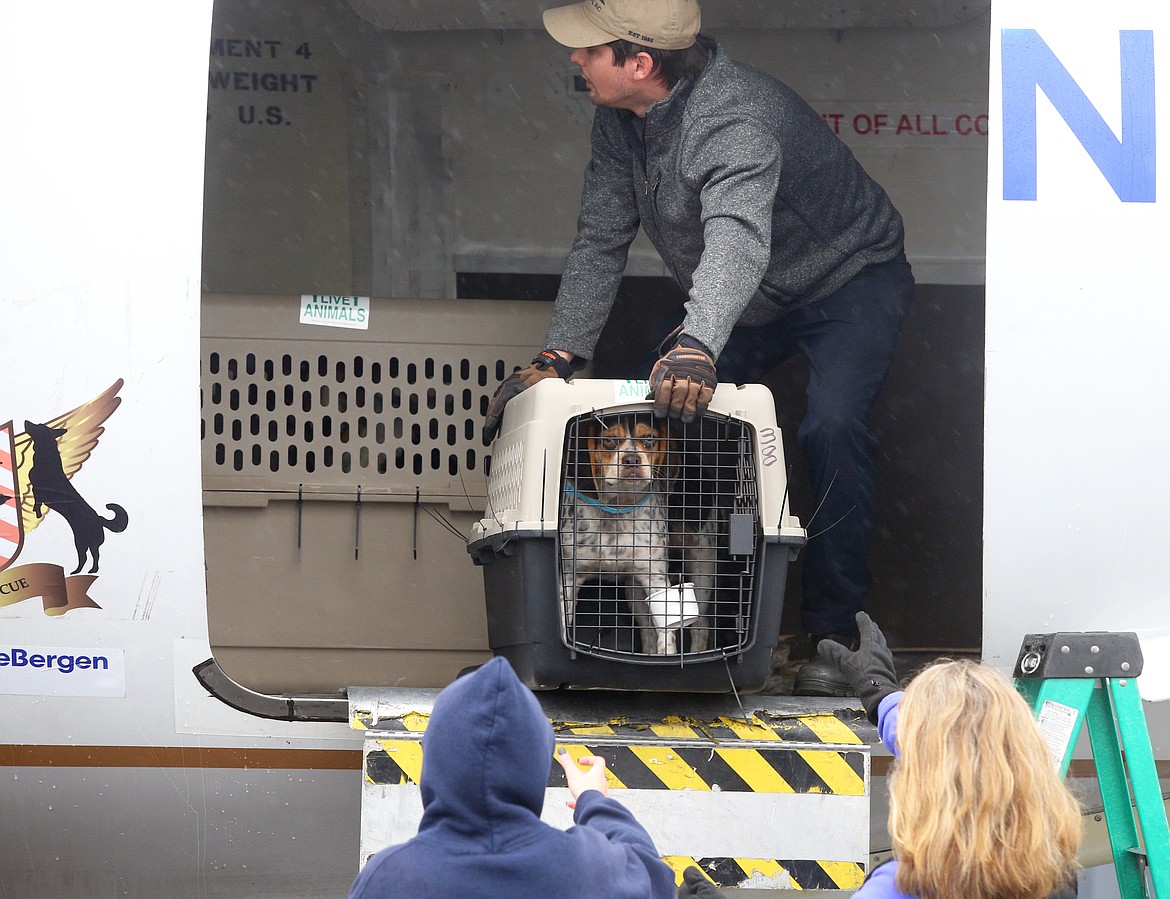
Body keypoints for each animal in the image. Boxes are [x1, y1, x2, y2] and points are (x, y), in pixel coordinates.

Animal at [23, 421, 129, 575]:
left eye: (37, 426)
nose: (26, 421)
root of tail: (99, 519)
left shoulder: (37, 490)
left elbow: (37, 503)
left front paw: (36, 512)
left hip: (81, 541)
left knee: (86, 556)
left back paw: (81, 571)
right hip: (89, 543)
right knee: (94, 555)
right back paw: (89, 570)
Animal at [559, 414, 716, 655]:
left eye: (649, 438)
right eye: (609, 440)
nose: (632, 460)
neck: (617, 508)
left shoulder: (656, 579)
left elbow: (666, 636)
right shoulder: (569, 576)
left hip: (701, 567)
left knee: (701, 626)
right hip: (634, 591)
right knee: (648, 631)